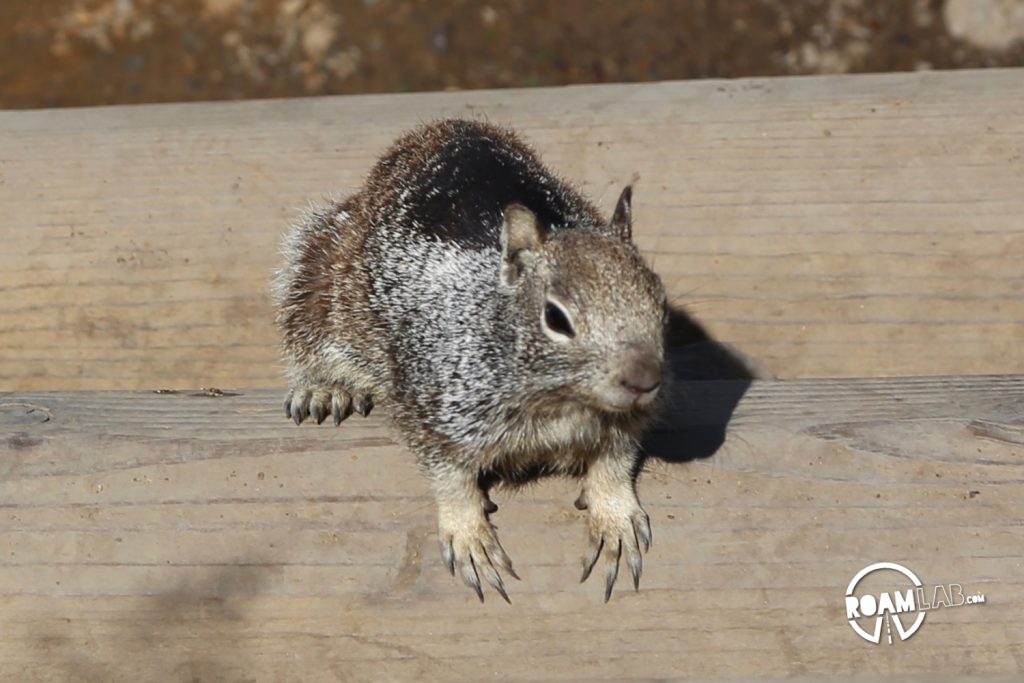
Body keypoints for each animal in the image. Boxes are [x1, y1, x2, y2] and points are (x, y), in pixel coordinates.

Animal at [276, 120, 667, 602]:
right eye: (556, 318)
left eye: (659, 297)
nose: (645, 379)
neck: (561, 401)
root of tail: (436, 130)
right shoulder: (434, 404)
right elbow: (449, 475)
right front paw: (468, 533)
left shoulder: (628, 421)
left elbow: (615, 461)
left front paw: (614, 517)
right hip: (322, 269)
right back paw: (323, 387)